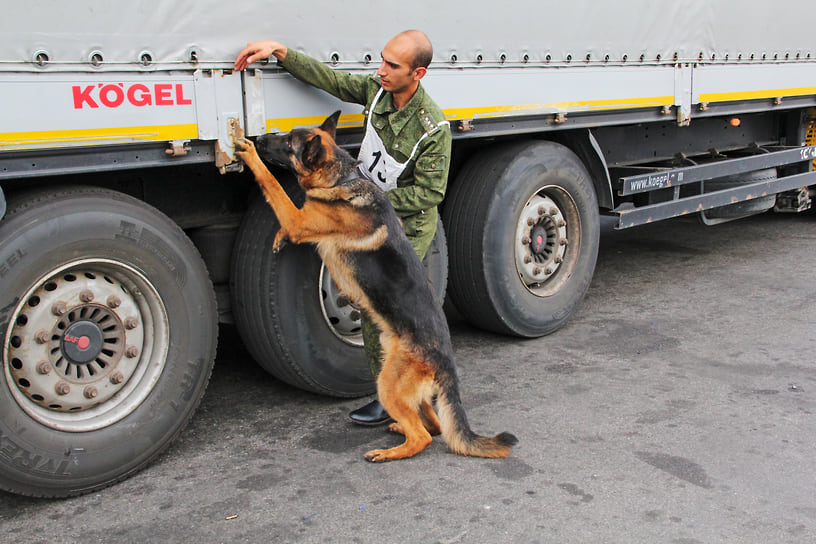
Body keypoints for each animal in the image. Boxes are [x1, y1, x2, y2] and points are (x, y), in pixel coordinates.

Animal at [234, 111, 516, 464]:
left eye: (287, 143)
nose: (258, 139)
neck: (340, 180)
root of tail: (444, 360)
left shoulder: (299, 220)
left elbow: (273, 187)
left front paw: (250, 156)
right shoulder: (301, 220)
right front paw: (277, 237)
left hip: (387, 384)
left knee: (423, 436)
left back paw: (389, 452)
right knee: (435, 425)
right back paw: (398, 428)